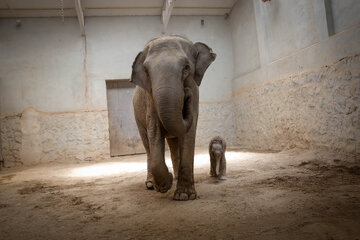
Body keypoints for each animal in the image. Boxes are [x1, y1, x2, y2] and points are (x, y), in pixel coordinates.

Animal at [132, 35, 217, 201]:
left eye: (186, 67)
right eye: (146, 71)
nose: (187, 94)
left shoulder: (194, 89)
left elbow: (188, 132)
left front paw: (184, 195)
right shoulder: (150, 96)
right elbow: (154, 130)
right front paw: (165, 185)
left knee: (173, 143)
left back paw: (176, 178)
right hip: (137, 116)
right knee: (147, 143)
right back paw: (151, 184)